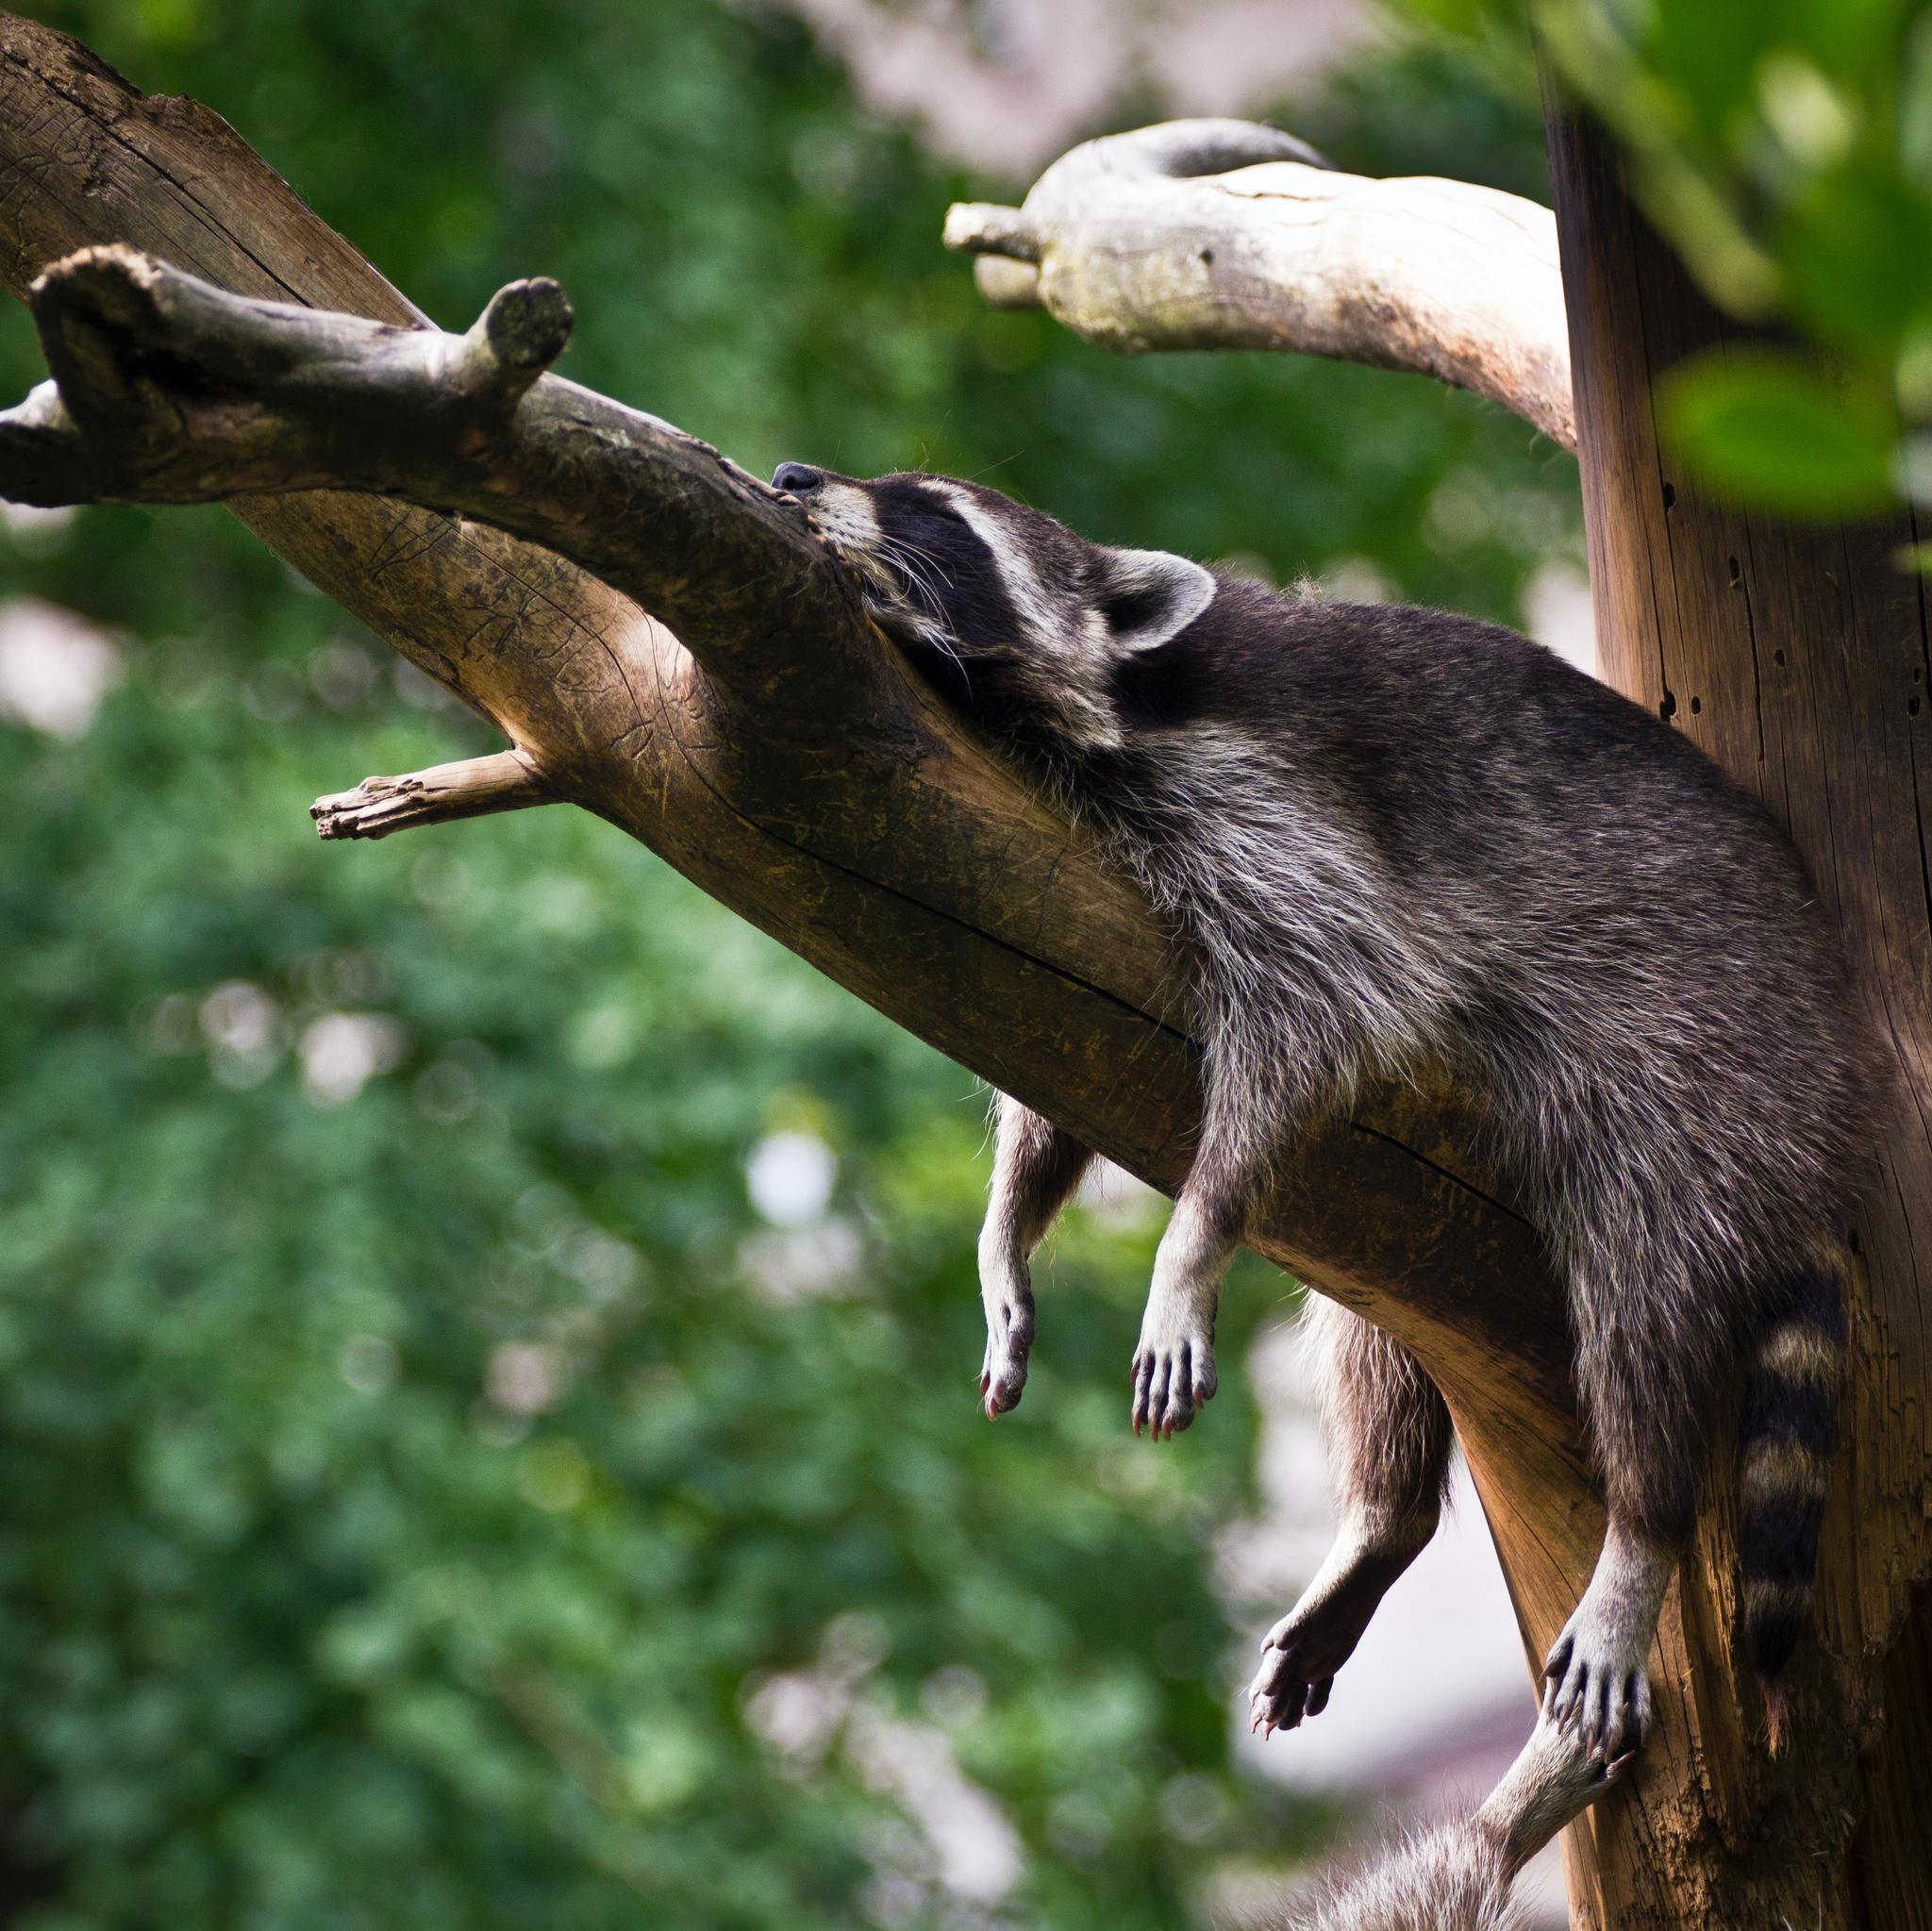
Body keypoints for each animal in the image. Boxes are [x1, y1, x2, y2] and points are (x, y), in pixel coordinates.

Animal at [769, 456, 1870, 1769]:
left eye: (928, 507)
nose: (792, 473)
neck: (1124, 699)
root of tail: (1825, 1092)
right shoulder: (1062, 880)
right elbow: (1050, 1068)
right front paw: (1007, 1230)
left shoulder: (1285, 824)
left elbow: (1311, 1035)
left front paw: (1188, 1244)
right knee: (1377, 1325)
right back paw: (1383, 1516)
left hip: (1704, 1071)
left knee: (1640, 1305)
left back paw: (1639, 1531)